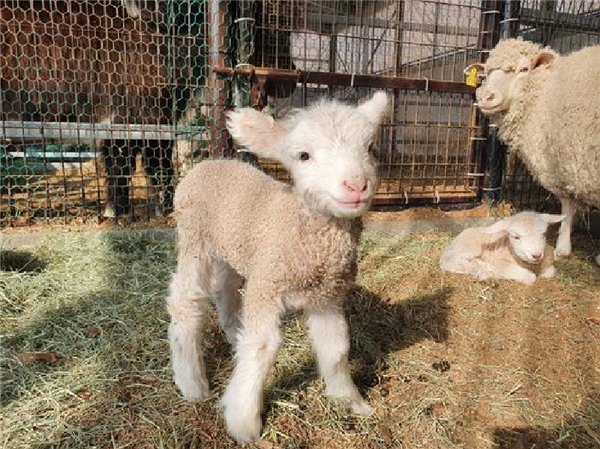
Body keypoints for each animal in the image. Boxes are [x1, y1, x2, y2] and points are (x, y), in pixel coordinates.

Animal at [166, 91, 392, 440]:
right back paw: (192, 382)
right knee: (186, 302)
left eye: (370, 148)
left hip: (233, 248)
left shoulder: (328, 296)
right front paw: (244, 422)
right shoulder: (267, 285)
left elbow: (336, 348)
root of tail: (208, 162)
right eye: (303, 156)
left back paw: (233, 335)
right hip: (195, 239)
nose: (356, 186)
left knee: (225, 289)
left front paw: (350, 400)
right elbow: (262, 347)